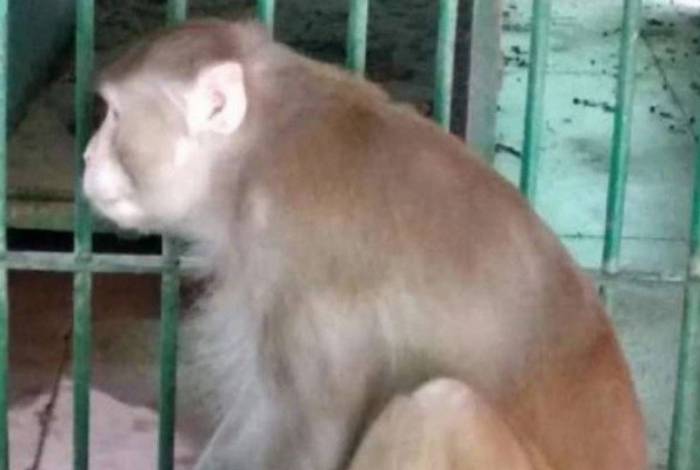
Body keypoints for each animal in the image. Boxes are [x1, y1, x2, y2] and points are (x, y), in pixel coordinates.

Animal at [82, 19, 647, 470]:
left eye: (114, 117)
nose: (88, 156)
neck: (260, 146)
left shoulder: (300, 267)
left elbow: (307, 435)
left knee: (440, 406)